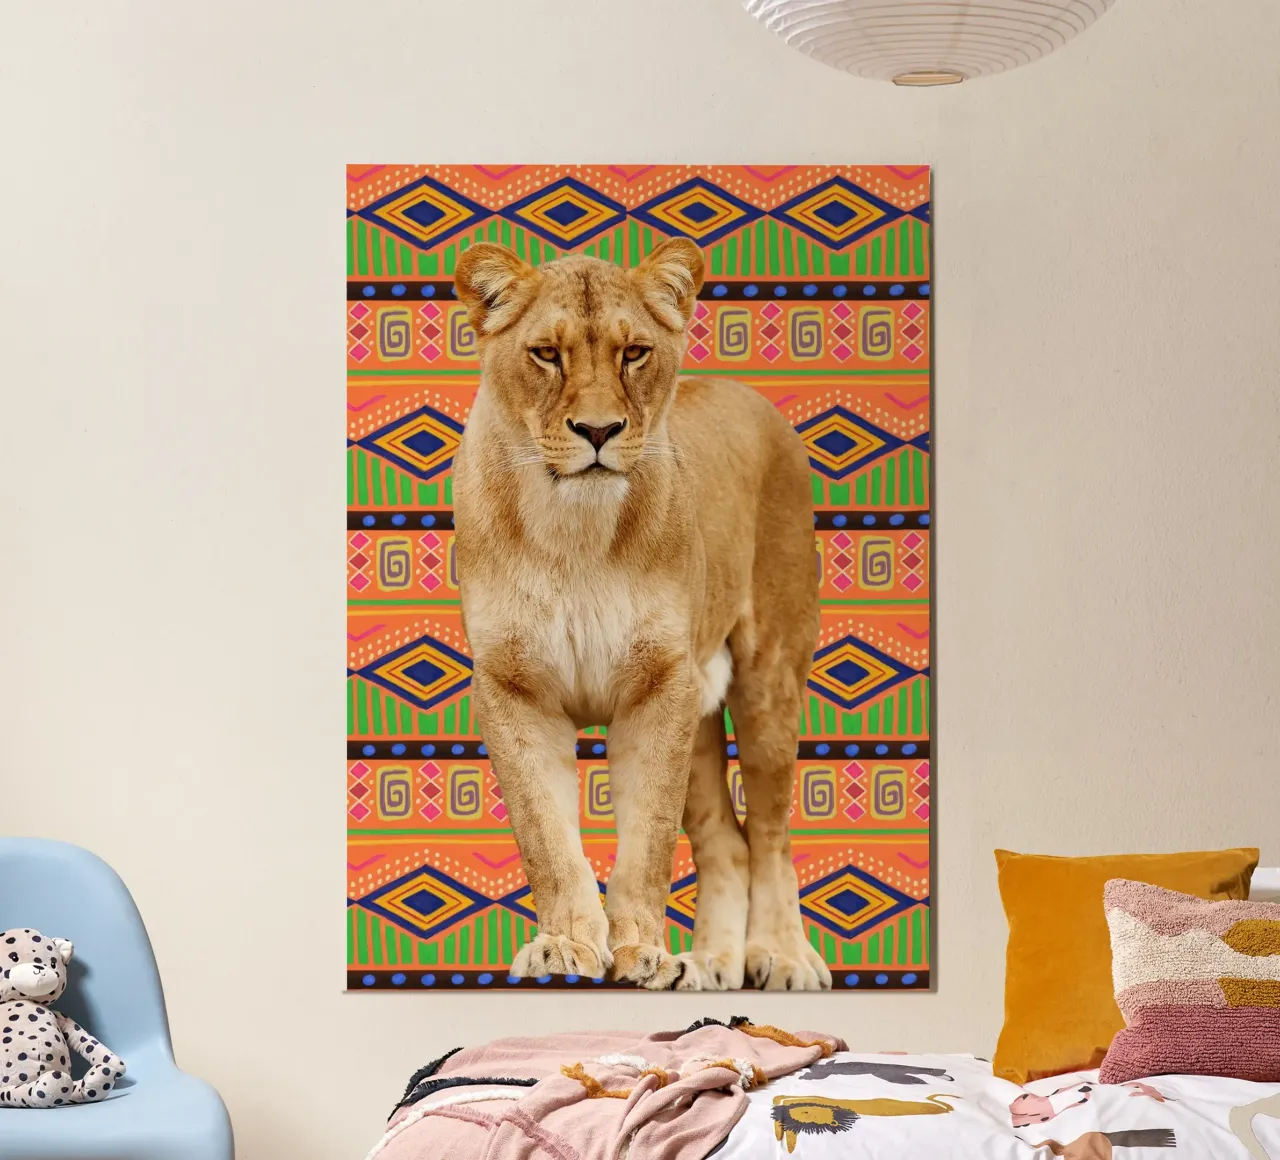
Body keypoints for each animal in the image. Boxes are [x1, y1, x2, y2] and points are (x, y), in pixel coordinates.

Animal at [451, 237, 827, 992]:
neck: (572, 532)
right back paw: (711, 964)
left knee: (772, 833)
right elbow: (546, 835)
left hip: (767, 677)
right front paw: (566, 947)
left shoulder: (660, 684)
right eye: (547, 354)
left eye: (634, 353)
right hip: (702, 707)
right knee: (727, 843)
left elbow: (650, 839)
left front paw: (642, 955)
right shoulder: (512, 685)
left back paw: (778, 955)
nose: (598, 430)